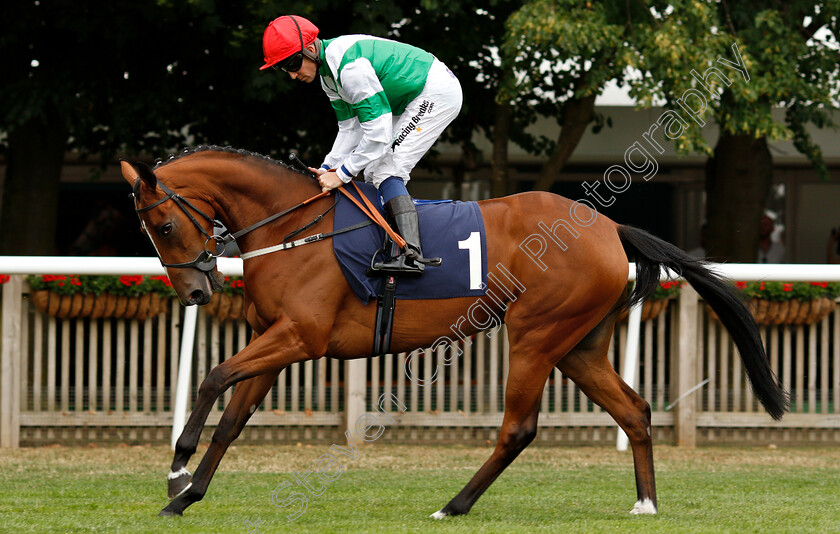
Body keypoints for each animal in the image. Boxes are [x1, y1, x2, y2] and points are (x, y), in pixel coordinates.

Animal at [120, 146, 788, 520]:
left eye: (163, 224)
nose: (196, 293)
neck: (296, 228)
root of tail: (608, 226)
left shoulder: (299, 338)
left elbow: (212, 377)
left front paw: (177, 466)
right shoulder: (277, 340)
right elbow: (232, 419)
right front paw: (184, 498)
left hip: (537, 335)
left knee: (519, 428)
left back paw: (453, 504)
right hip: (578, 347)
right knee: (635, 410)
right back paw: (646, 502)